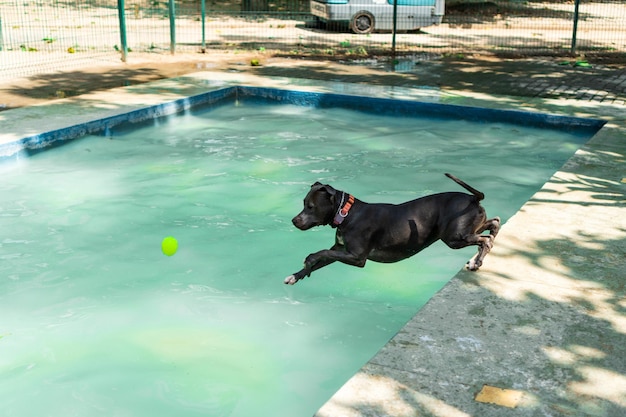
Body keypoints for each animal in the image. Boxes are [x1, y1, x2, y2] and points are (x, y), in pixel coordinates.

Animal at [282, 171, 498, 284]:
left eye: (311, 206)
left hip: (454, 237)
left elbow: (319, 253)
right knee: (494, 223)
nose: (294, 220)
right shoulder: (340, 250)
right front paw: (297, 275)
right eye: (303, 203)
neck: (346, 214)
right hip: (468, 228)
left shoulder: (357, 257)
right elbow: (322, 258)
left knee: (486, 240)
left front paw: (308, 260)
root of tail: (472, 198)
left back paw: (477, 261)